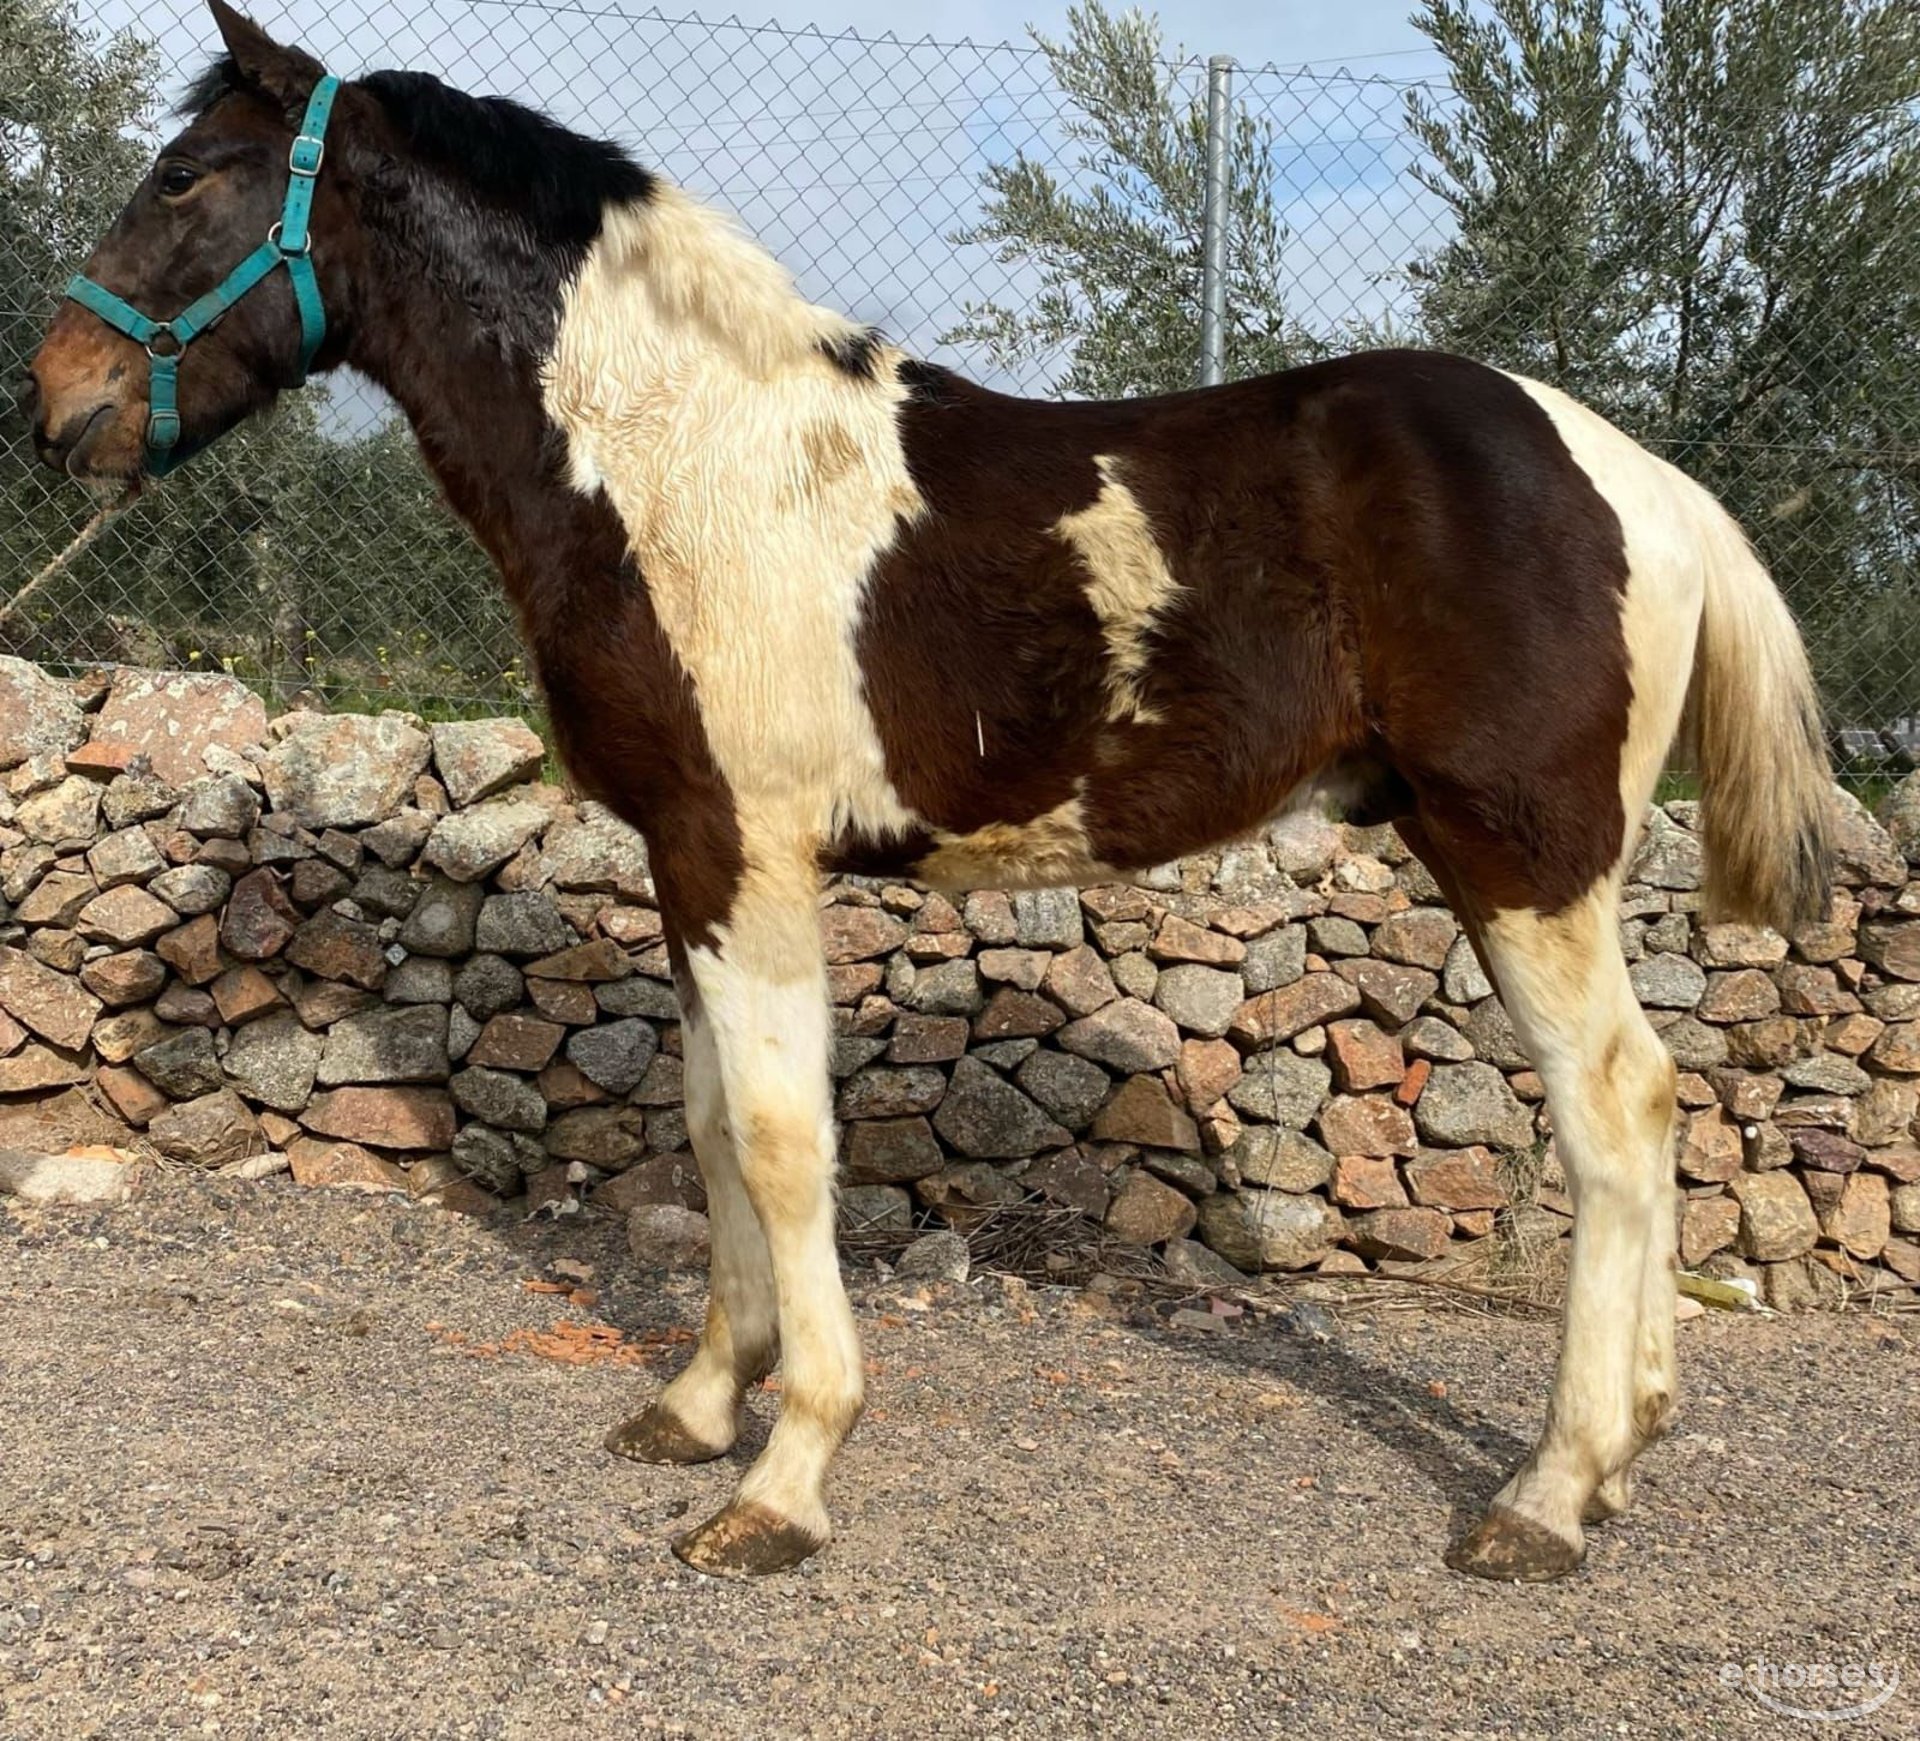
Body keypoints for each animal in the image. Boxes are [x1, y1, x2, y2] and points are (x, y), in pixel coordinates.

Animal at [26, 0, 1827, 1581]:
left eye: (187, 175)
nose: (54, 406)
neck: (683, 462)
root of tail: (1643, 480)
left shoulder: (744, 854)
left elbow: (778, 1139)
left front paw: (783, 1478)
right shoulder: (690, 863)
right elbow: (707, 1124)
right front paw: (699, 1406)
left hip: (1518, 854)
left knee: (1614, 1113)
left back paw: (1549, 1494)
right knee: (1658, 1102)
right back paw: (1627, 1449)